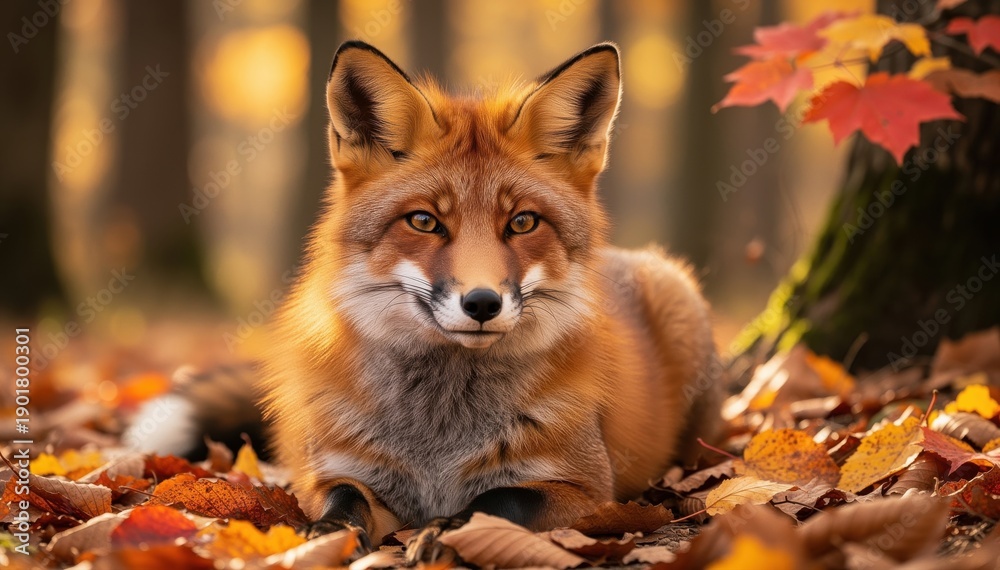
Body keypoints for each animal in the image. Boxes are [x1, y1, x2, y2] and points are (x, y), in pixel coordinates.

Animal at [129, 40, 723, 561]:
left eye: (522, 222)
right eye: (424, 221)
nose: (481, 303)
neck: (438, 436)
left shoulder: (587, 490)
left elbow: (498, 500)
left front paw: (448, 532)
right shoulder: (335, 473)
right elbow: (343, 503)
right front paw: (323, 538)